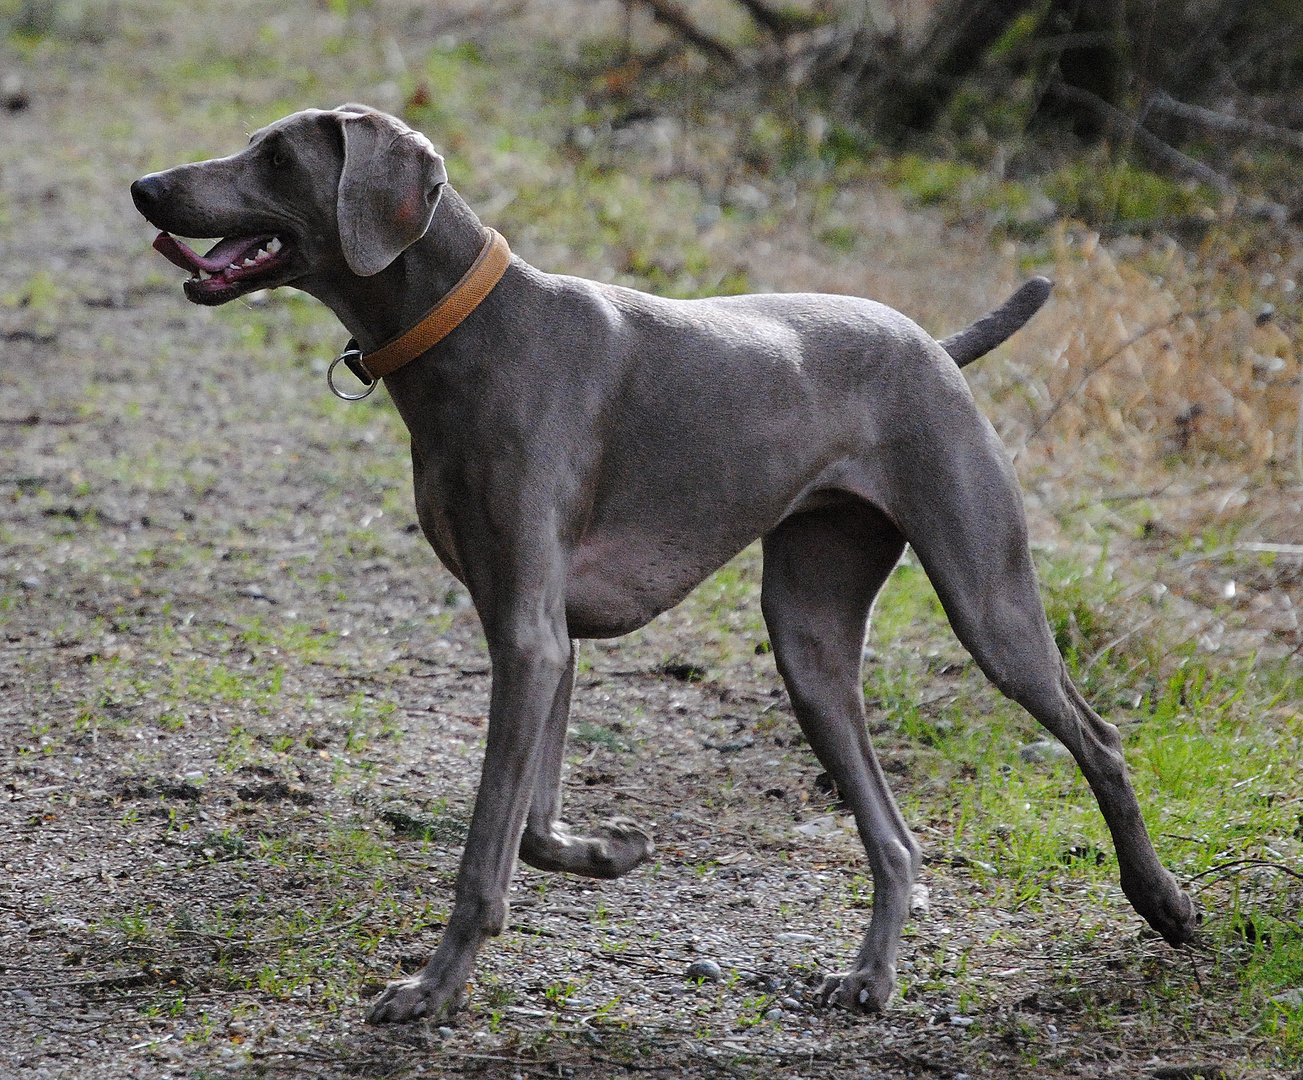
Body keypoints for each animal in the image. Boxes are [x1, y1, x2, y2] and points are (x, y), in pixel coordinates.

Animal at [129, 105, 1193, 1021]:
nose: (145, 187)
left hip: (985, 596)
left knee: (1099, 739)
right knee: (893, 837)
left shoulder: (529, 637)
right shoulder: (544, 635)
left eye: (274, 156)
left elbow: (484, 852)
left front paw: (431, 991)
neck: (467, 330)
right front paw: (610, 850)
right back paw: (869, 978)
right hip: (809, 638)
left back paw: (1162, 904)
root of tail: (931, 343)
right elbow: (530, 829)